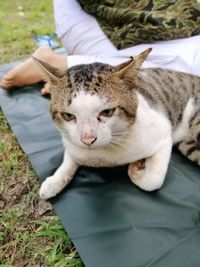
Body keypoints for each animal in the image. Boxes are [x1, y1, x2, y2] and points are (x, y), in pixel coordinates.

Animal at [33, 48, 199, 200]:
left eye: (107, 112)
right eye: (67, 116)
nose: (87, 139)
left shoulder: (163, 135)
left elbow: (153, 181)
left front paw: (136, 170)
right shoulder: (71, 143)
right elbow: (70, 157)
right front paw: (55, 180)